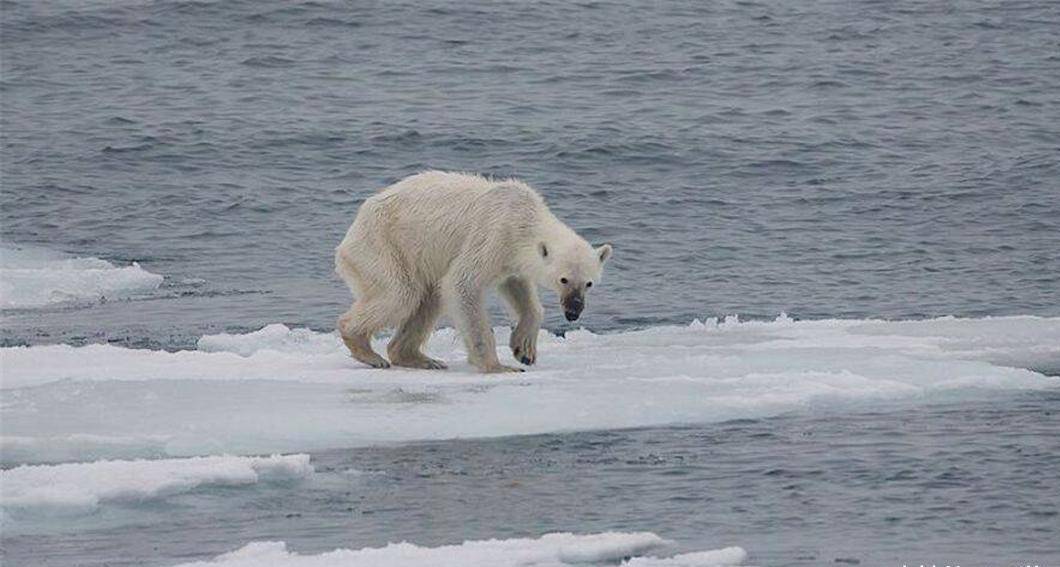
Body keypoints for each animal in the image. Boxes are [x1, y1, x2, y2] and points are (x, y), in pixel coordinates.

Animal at [330, 170, 614, 375]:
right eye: (563, 279)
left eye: (589, 283)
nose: (573, 311)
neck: (524, 217)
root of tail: (350, 233)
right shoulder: (493, 234)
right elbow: (462, 284)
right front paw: (498, 366)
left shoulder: (511, 259)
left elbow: (519, 289)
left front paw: (524, 349)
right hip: (383, 246)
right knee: (401, 294)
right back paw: (367, 350)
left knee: (429, 298)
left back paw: (421, 359)